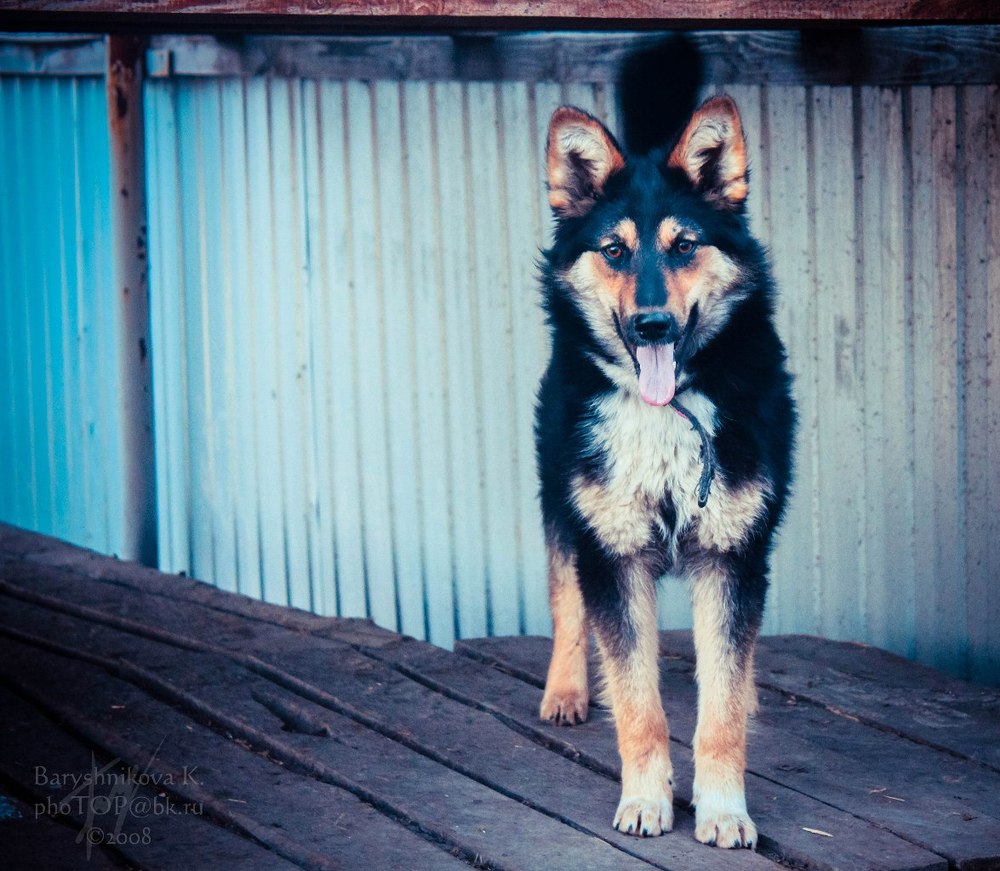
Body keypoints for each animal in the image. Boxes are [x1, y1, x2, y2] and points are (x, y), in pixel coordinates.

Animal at [540, 97, 796, 852]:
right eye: (615, 251)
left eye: (684, 246)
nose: (652, 325)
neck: (666, 409)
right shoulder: (611, 552)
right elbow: (638, 704)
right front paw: (647, 800)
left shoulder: (733, 557)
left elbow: (721, 707)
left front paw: (723, 810)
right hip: (562, 500)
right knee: (564, 595)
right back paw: (565, 690)